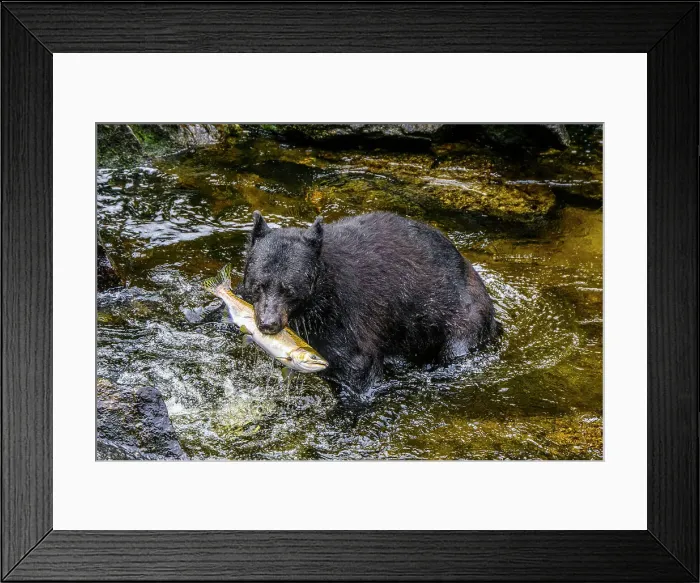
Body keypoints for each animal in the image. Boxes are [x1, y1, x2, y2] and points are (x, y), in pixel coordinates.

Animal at [237, 211, 499, 398]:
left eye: (289, 290)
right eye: (258, 284)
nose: (268, 323)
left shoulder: (347, 316)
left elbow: (358, 367)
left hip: (461, 315)